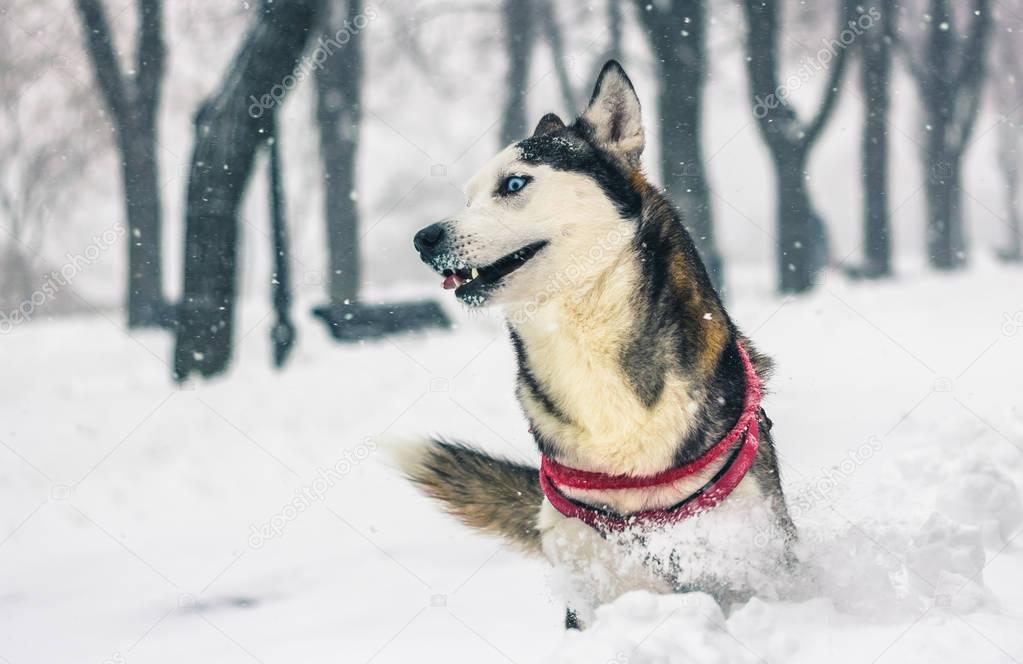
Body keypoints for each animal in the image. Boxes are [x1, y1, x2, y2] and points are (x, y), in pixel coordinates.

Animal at [394, 59, 793, 626]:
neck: (585, 342)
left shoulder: (745, 543)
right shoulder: (590, 563)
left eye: (513, 183)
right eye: (467, 198)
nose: (423, 239)